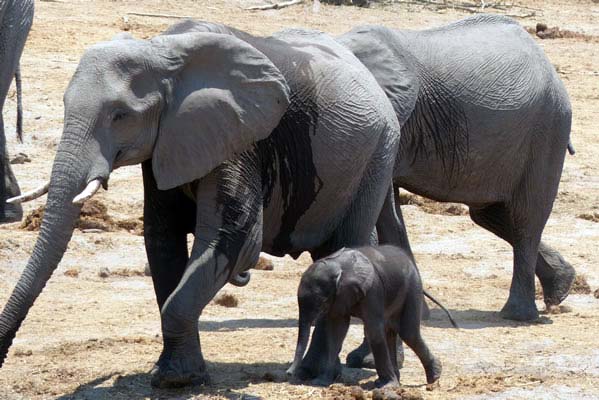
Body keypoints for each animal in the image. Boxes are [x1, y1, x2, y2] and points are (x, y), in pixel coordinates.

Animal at [1, 21, 404, 388]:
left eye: (120, 115)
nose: (4, 351)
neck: (161, 49)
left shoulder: (240, 139)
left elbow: (236, 239)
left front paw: (175, 380)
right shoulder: (170, 140)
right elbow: (161, 240)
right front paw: (179, 375)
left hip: (377, 153)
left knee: (347, 242)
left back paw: (316, 375)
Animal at [288, 244, 452, 388]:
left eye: (322, 303)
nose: (289, 373)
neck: (338, 266)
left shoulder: (373, 289)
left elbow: (373, 330)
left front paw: (388, 387)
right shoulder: (339, 298)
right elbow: (336, 331)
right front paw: (321, 382)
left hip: (412, 287)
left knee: (408, 333)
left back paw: (433, 376)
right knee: (390, 333)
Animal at [338, 14, 576, 324]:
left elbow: (386, 208)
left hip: (548, 130)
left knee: (526, 217)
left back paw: (518, 315)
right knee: (489, 214)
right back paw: (561, 288)